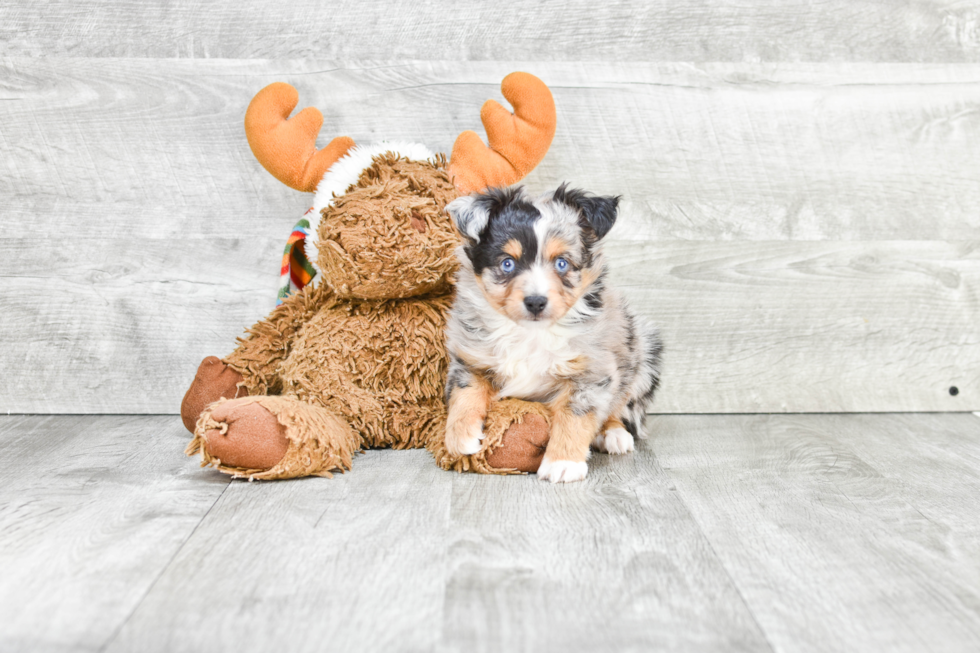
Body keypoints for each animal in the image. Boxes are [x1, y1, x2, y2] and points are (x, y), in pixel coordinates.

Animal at [446, 186, 668, 482]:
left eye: (562, 263)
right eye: (507, 263)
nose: (536, 302)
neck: (531, 333)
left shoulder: (591, 371)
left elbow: (575, 416)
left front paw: (563, 463)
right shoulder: (470, 357)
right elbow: (465, 391)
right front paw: (459, 436)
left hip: (642, 351)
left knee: (621, 404)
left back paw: (614, 434)